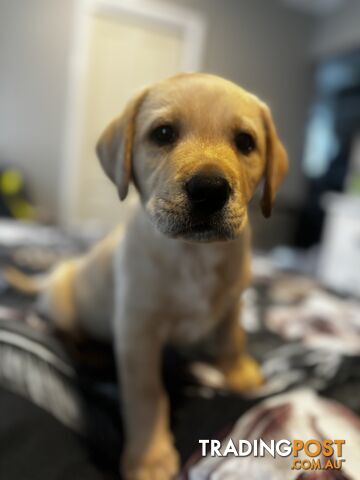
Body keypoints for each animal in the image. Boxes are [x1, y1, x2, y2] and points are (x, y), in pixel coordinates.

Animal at [7, 73, 286, 478]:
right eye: (163, 133)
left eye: (246, 142)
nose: (209, 189)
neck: (194, 256)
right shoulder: (138, 333)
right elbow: (147, 396)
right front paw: (149, 457)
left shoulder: (233, 302)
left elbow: (230, 339)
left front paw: (239, 373)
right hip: (63, 304)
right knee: (65, 333)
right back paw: (90, 353)